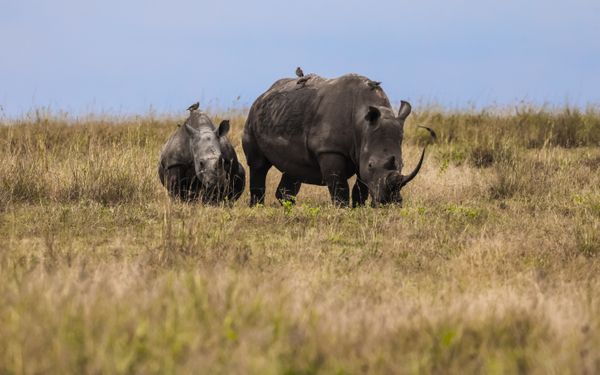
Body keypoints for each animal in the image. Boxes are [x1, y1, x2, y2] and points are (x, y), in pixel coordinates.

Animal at [241, 73, 434, 209]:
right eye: (372, 164)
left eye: (402, 165)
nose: (390, 202)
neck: (362, 123)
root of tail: (264, 93)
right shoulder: (330, 150)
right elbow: (339, 186)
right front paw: (342, 209)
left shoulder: (361, 151)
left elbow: (361, 187)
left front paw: (358, 208)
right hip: (251, 118)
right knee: (258, 164)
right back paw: (257, 207)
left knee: (293, 166)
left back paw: (288, 207)